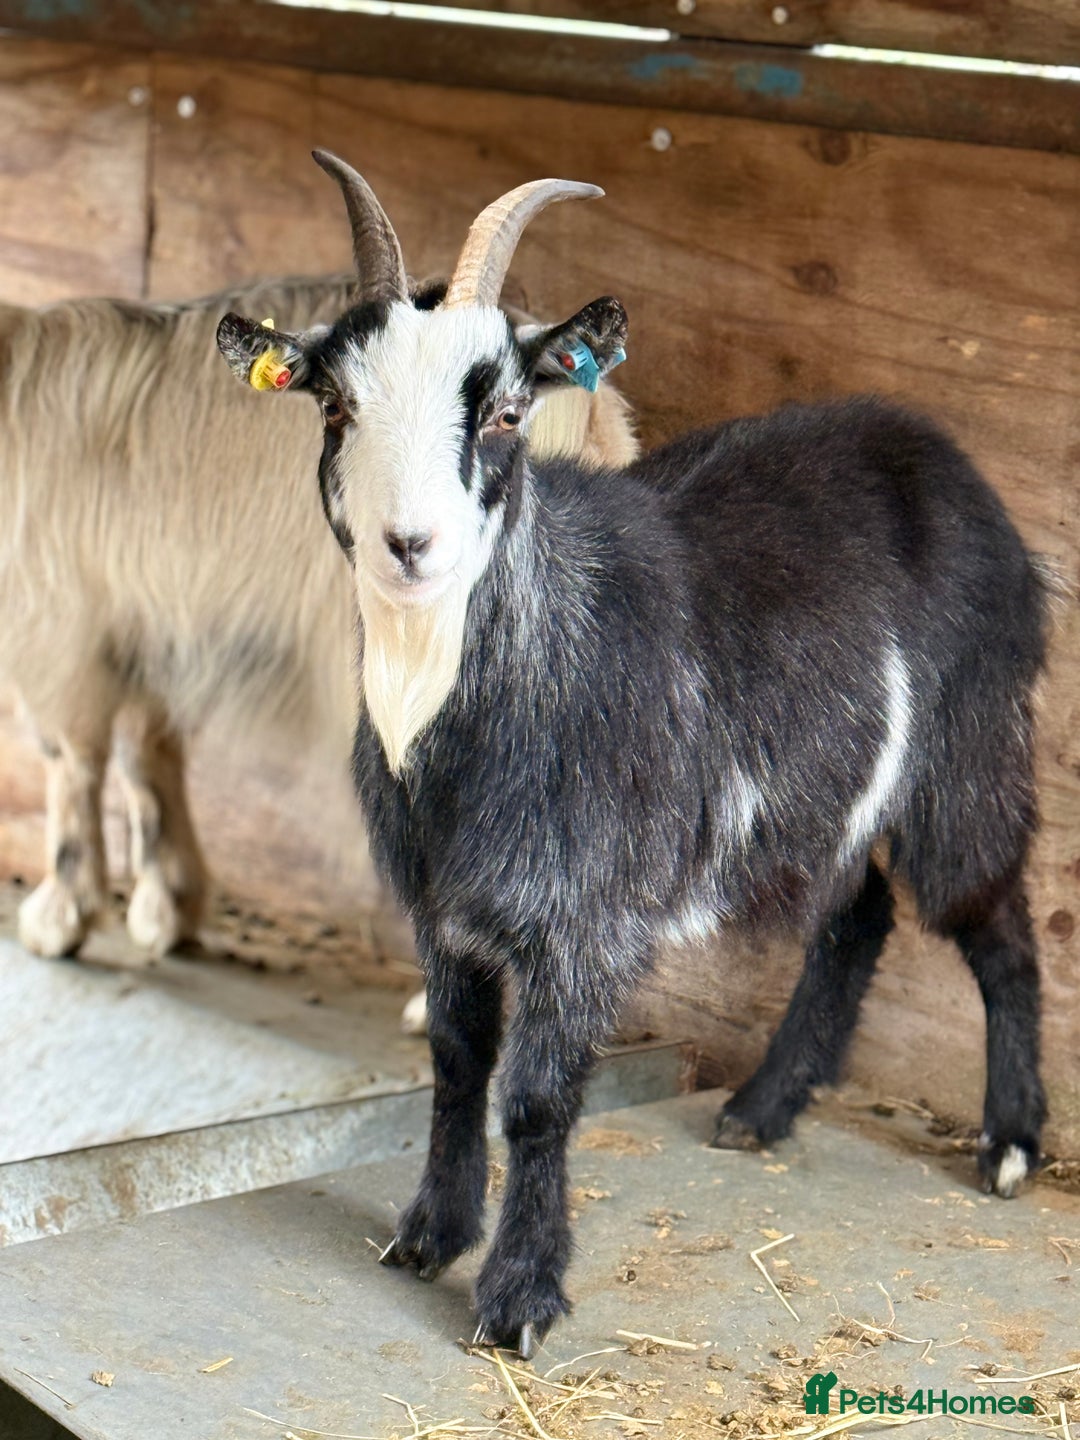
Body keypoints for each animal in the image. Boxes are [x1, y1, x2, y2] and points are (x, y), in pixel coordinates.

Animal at [0, 275, 636, 961]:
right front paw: (166, 906)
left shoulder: (57, 626)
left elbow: (74, 757)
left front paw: (60, 915)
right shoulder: (153, 625)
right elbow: (145, 750)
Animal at [217, 151, 1050, 1357]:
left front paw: (519, 1296)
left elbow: (535, 1097)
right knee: (855, 917)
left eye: (506, 409)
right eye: (334, 402)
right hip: (823, 794)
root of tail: (941, 457)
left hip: (969, 751)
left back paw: (1013, 1145)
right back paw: (761, 1109)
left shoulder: (584, 915)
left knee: (996, 926)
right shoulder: (442, 909)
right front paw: (429, 1233)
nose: (409, 545)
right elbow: (456, 1063)